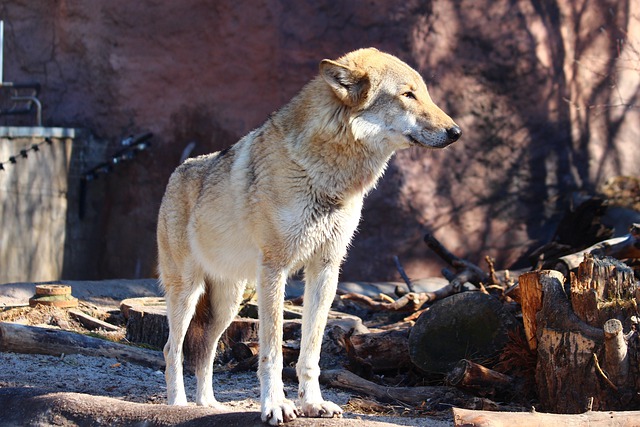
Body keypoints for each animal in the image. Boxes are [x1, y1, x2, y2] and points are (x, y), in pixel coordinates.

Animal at [158, 47, 462, 424]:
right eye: (408, 95)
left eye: (426, 93)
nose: (456, 131)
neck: (327, 177)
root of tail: (177, 171)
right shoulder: (274, 270)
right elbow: (272, 351)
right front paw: (275, 406)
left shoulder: (326, 269)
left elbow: (311, 352)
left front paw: (313, 404)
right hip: (188, 293)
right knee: (172, 349)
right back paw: (179, 404)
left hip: (227, 304)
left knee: (205, 350)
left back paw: (208, 404)